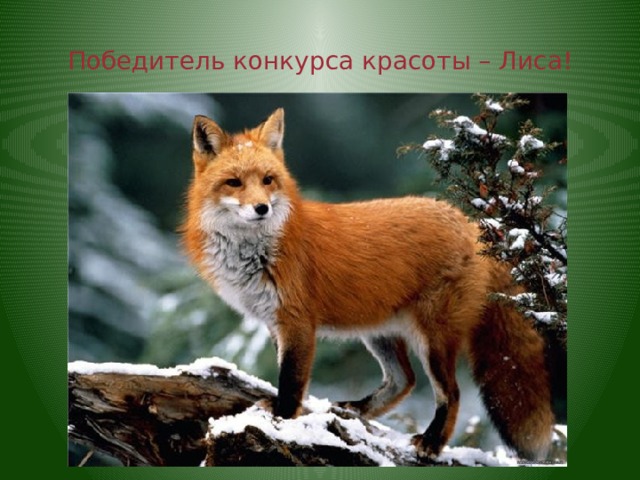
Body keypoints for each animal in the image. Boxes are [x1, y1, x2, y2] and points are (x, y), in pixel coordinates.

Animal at [182, 108, 554, 461]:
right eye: (233, 182)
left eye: (268, 180)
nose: (261, 208)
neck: (257, 252)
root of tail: (471, 223)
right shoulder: (275, 323)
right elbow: (286, 375)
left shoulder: (297, 322)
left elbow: (291, 381)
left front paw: (282, 420)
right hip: (379, 332)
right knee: (404, 380)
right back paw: (357, 410)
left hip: (433, 338)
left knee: (451, 392)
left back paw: (432, 443)